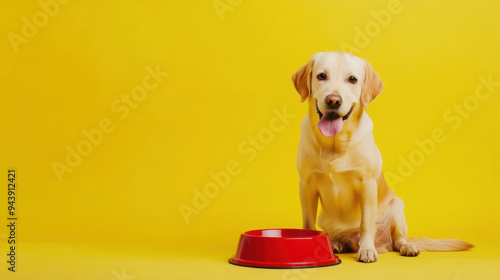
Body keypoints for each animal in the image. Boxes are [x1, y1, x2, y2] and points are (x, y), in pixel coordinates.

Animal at [292, 50, 470, 262]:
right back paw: (336, 243)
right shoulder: (306, 185)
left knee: (398, 240)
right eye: (321, 76)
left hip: (397, 207)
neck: (335, 144)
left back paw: (406, 246)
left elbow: (366, 224)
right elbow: (308, 223)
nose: (333, 100)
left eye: (352, 79)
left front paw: (367, 249)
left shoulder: (367, 184)